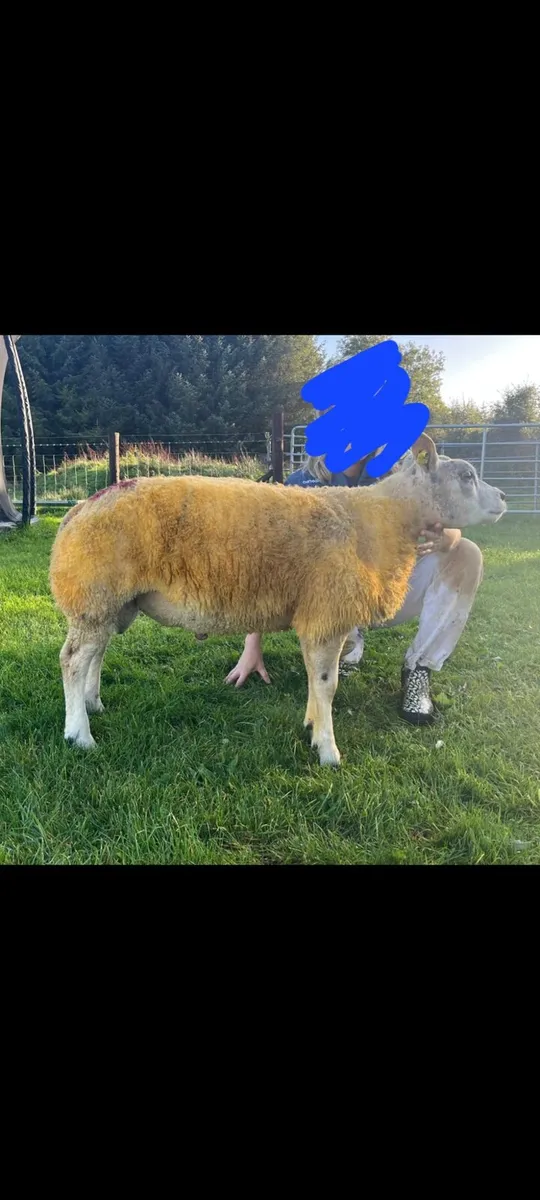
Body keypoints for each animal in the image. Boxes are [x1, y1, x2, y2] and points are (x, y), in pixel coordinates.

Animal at [49, 434, 506, 766]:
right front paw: (328, 751)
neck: (381, 522)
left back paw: (92, 704)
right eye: (467, 475)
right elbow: (327, 684)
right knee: (73, 660)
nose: (503, 499)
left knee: (95, 654)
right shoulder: (327, 613)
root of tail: (80, 509)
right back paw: (79, 734)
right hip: (95, 593)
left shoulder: (319, 614)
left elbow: (314, 681)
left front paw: (312, 726)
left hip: (108, 599)